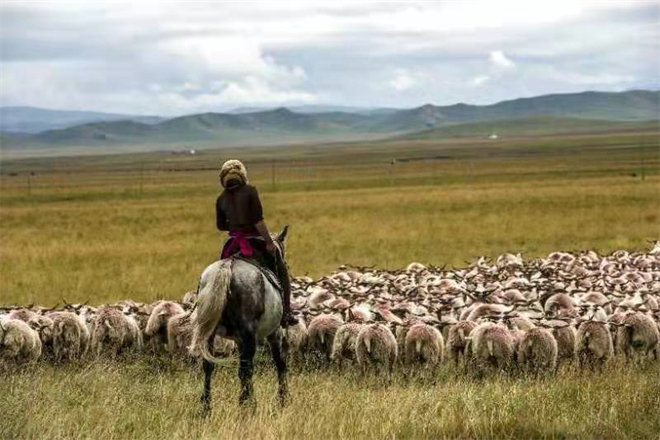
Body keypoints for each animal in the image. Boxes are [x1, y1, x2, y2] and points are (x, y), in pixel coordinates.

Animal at [187, 227, 288, 412]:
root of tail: (227, 267)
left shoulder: (241, 339)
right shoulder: (274, 332)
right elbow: (279, 362)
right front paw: (283, 399)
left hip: (211, 331)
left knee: (208, 366)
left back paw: (206, 406)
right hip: (250, 333)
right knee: (246, 369)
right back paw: (248, 404)